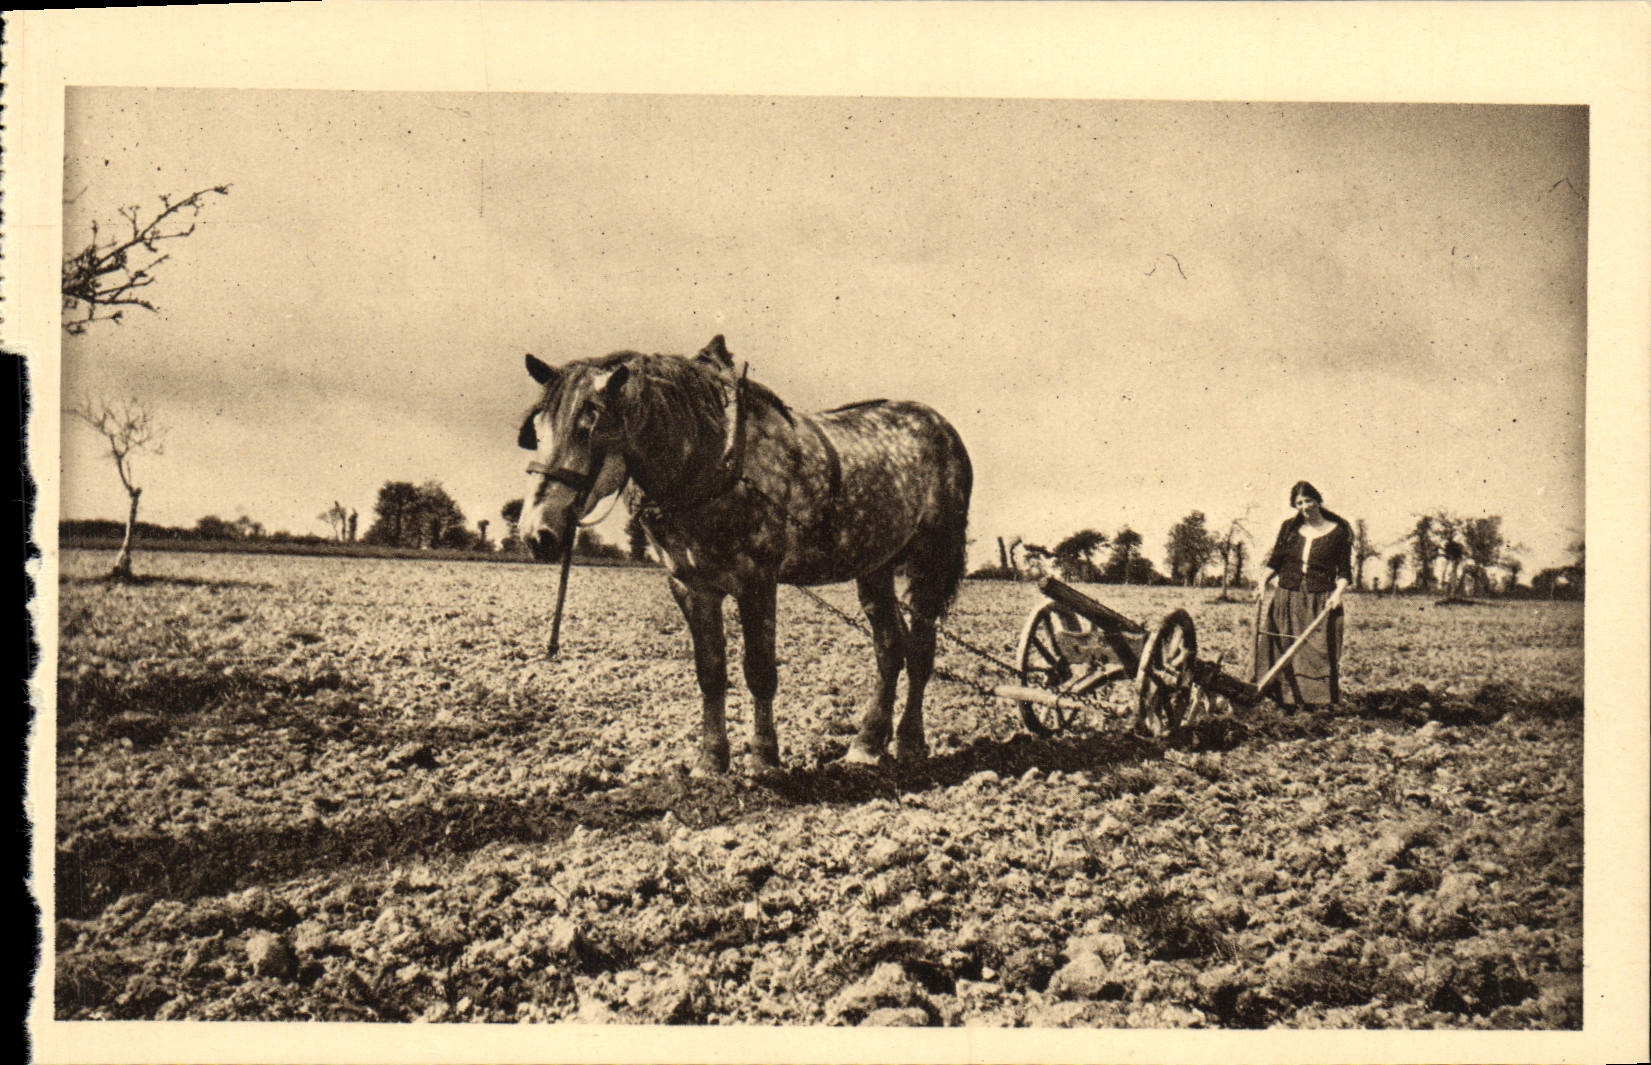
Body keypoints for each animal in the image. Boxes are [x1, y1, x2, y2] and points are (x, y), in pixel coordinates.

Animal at [516, 335, 973, 775]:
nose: (536, 534)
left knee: (921, 650)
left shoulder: (757, 581)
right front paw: (711, 760)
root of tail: (941, 426)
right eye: (535, 432)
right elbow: (711, 672)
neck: (712, 464)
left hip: (931, 559)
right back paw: (867, 743)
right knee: (889, 647)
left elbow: (759, 670)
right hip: (874, 564)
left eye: (586, 428)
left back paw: (910, 742)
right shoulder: (691, 585)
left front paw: (765, 758)